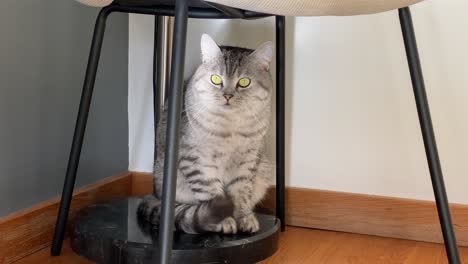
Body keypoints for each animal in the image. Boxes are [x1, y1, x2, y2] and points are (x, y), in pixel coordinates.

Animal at [137, 34, 274, 234]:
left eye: (244, 82)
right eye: (216, 79)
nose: (227, 96)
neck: (230, 127)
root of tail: (155, 195)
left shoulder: (248, 159)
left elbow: (241, 192)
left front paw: (244, 217)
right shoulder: (197, 159)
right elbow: (210, 191)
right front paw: (224, 220)